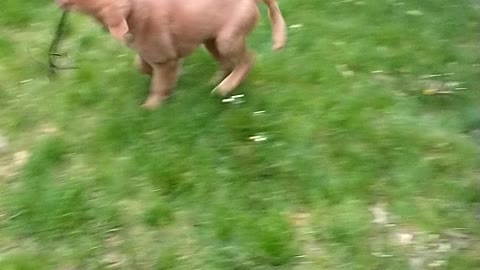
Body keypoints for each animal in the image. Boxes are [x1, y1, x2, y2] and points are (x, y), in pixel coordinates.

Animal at [54, 0, 286, 108]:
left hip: (227, 39)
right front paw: (161, 76)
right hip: (211, 40)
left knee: (247, 59)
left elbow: (158, 84)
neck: (134, 10)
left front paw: (150, 107)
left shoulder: (165, 59)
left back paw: (225, 87)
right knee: (226, 62)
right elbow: (140, 64)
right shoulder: (151, 54)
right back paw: (217, 81)